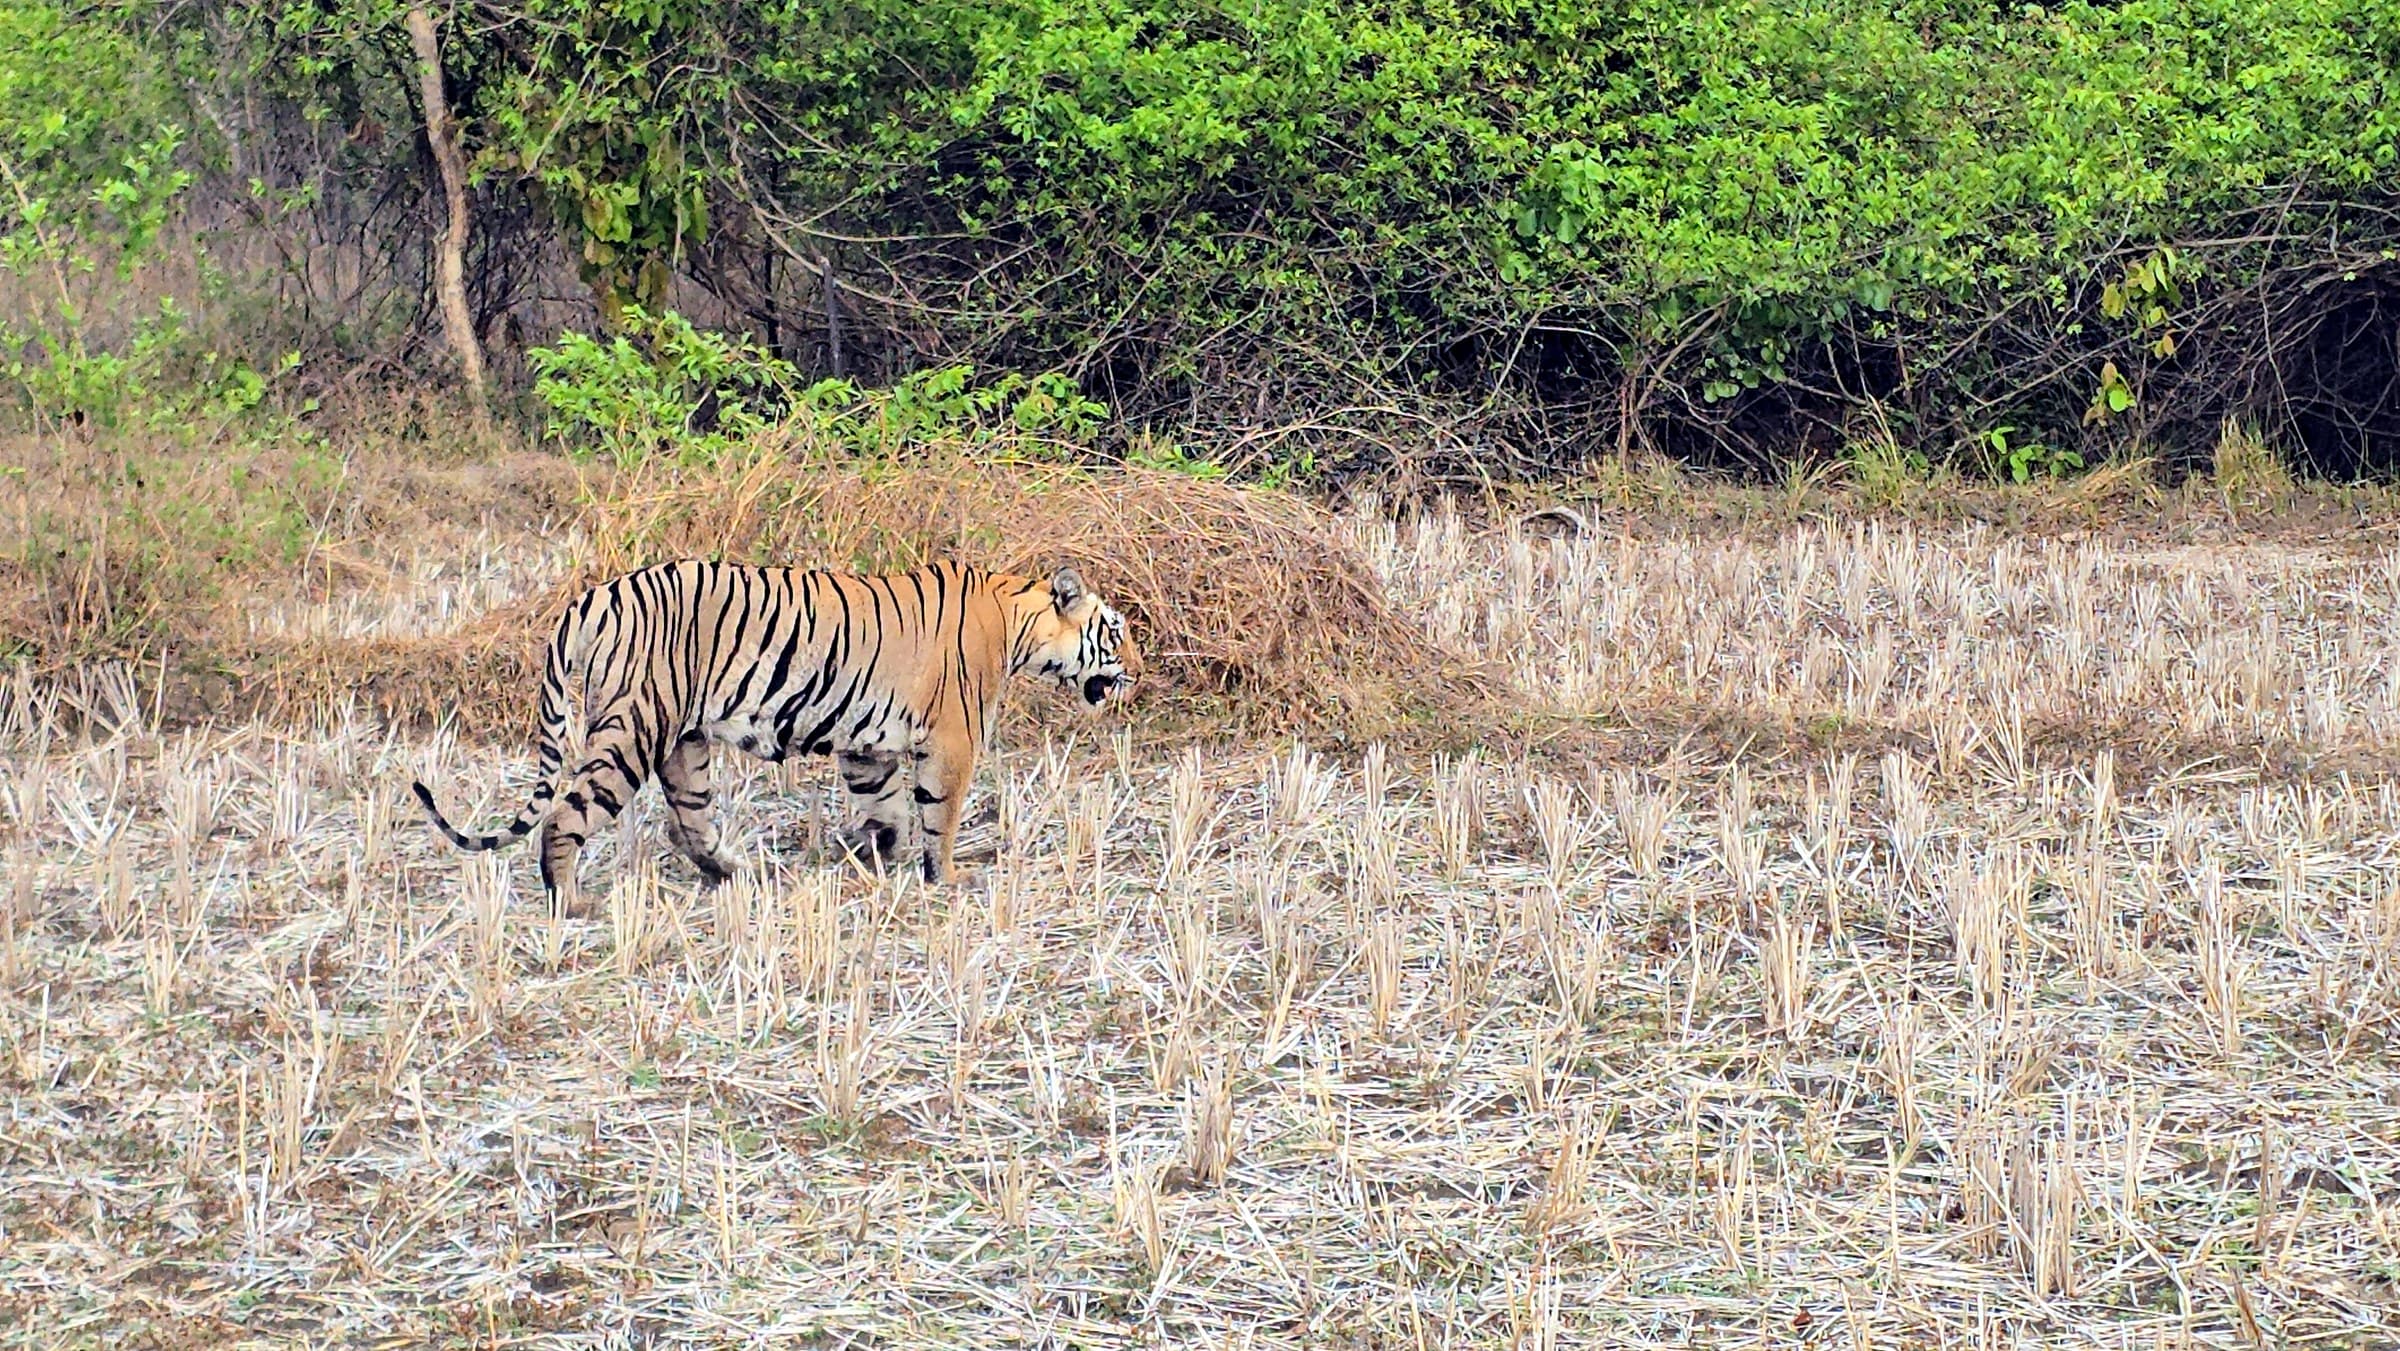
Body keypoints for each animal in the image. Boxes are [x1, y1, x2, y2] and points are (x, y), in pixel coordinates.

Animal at [411, 558, 1139, 912]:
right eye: (1116, 630)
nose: (1137, 671)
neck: (1017, 623)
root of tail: (590, 599)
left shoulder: (867, 745)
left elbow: (889, 811)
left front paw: (884, 861)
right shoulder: (951, 741)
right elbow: (940, 814)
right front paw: (946, 877)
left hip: (684, 741)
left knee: (687, 823)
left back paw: (740, 875)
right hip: (633, 729)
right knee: (567, 813)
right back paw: (571, 901)